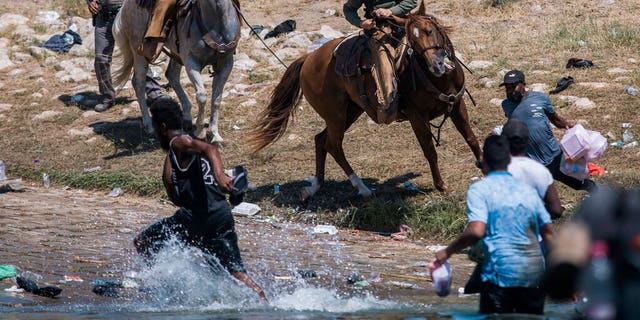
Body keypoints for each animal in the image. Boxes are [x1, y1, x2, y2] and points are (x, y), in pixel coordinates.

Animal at [111, 0, 241, 142]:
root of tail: (124, 6)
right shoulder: (191, 61)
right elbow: (202, 96)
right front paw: (200, 131)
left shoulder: (226, 63)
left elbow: (217, 99)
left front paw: (215, 135)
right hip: (139, 51)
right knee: (138, 83)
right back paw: (149, 126)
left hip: (175, 53)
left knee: (171, 75)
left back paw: (187, 118)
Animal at [248, 13, 482, 201]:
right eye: (412, 42)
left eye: (430, 31)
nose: (437, 65)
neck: (438, 79)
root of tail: (307, 59)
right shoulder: (417, 118)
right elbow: (430, 151)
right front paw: (441, 186)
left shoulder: (457, 105)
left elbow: (471, 138)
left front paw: (484, 166)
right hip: (336, 115)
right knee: (333, 145)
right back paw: (362, 188)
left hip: (350, 111)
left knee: (321, 140)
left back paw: (315, 187)